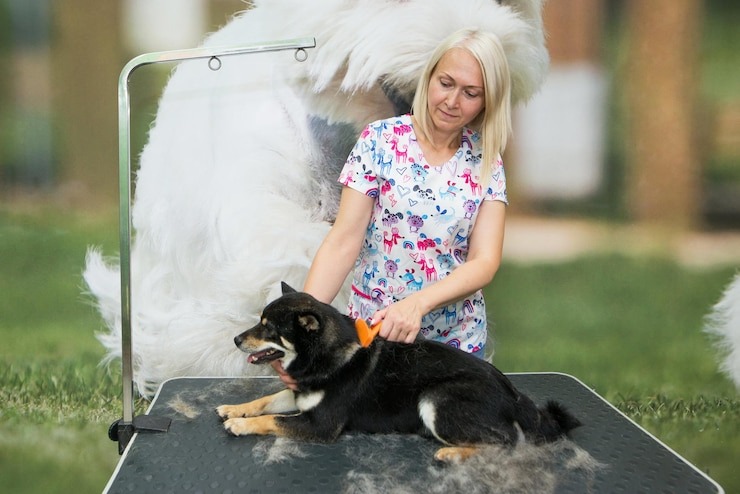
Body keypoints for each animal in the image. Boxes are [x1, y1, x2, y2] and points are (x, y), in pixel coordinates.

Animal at [217, 284, 580, 462]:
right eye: (259, 322)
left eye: (268, 328)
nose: (235, 339)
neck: (326, 356)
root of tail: (513, 394)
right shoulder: (299, 395)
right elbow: (266, 401)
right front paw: (235, 409)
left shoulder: (321, 424)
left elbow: (272, 419)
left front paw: (240, 424)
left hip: (435, 399)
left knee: (506, 441)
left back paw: (453, 453)